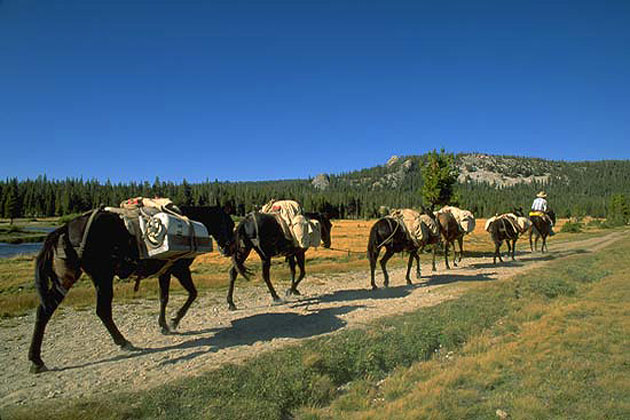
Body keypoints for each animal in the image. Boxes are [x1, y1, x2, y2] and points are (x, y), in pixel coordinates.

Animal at [27, 205, 235, 372]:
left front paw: (164, 325)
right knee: (102, 310)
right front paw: (174, 321)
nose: (228, 249)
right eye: (230, 224)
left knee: (45, 310)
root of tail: (65, 228)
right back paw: (124, 342)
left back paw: (36, 360)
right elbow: (192, 294)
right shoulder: (180, 269)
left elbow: (164, 297)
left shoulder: (165, 271)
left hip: (66, 278)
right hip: (102, 277)